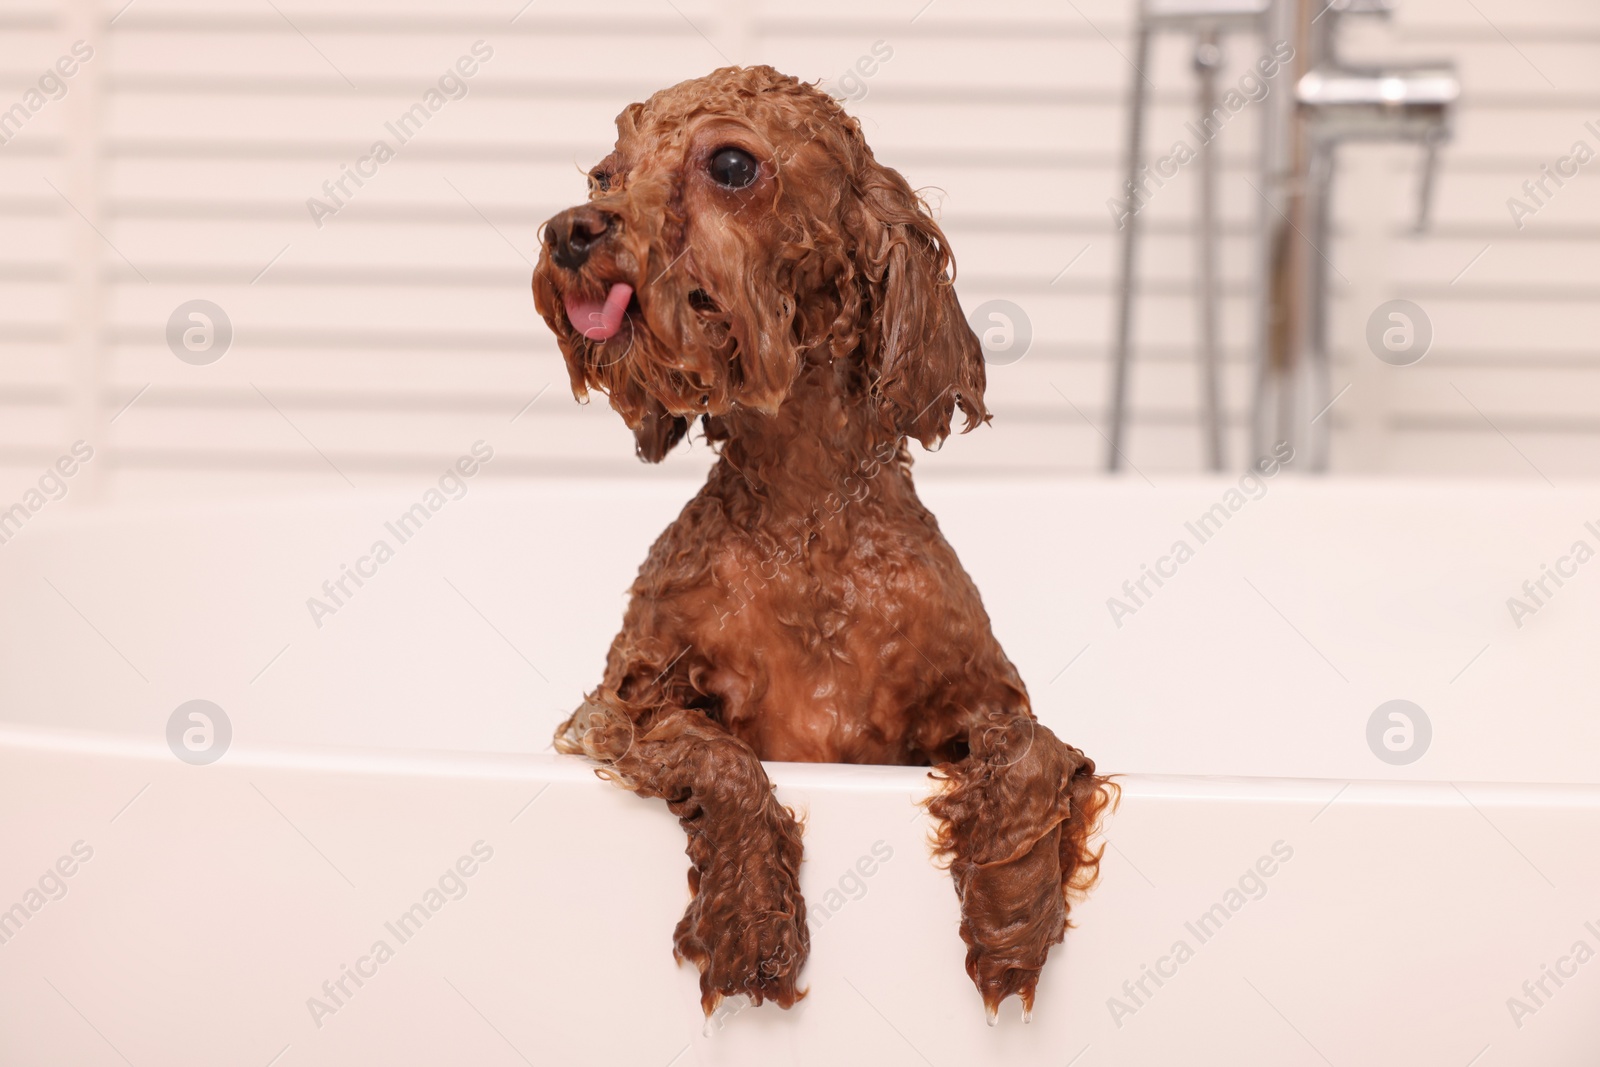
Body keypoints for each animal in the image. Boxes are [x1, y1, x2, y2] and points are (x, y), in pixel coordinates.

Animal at [531, 64, 1107, 1017]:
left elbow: (1033, 753)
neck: (804, 526)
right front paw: (751, 915)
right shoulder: (615, 707)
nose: (569, 228)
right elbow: (719, 755)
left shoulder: (981, 700)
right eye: (605, 173)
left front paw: (1012, 913)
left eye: (730, 164)